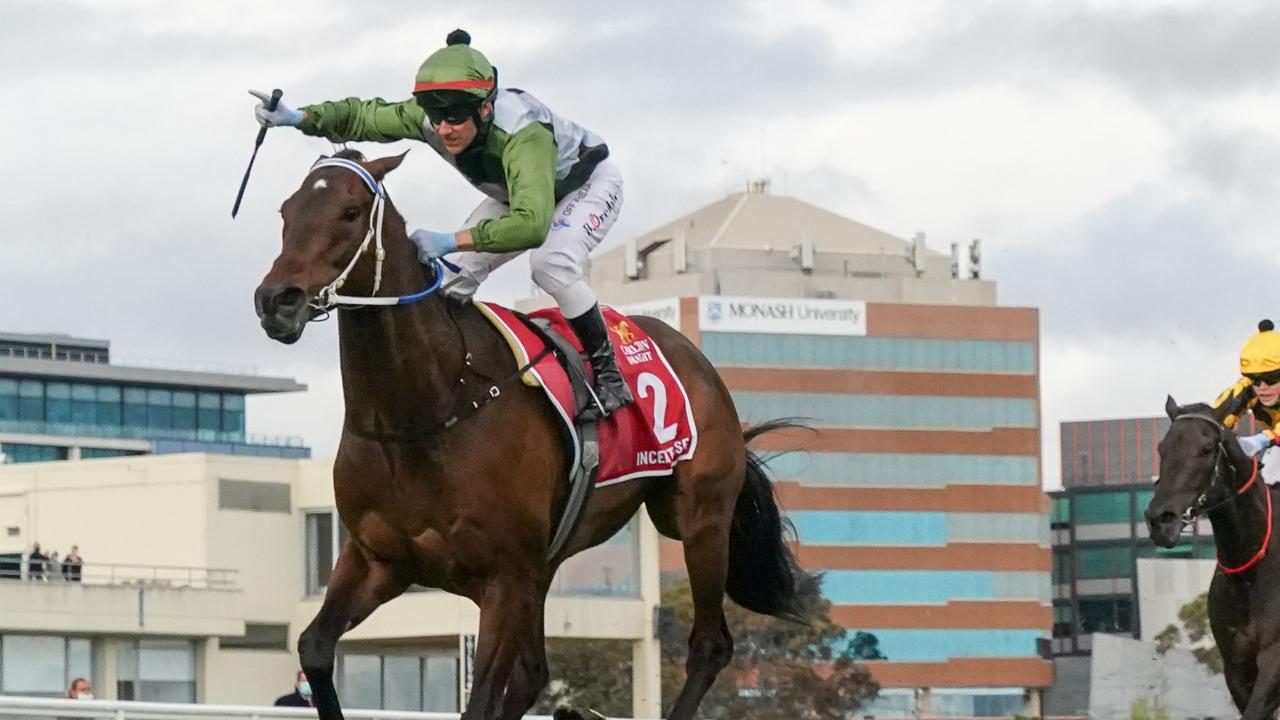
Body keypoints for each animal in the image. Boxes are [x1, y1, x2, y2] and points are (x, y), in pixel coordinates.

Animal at [254, 147, 819, 717]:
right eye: (285, 211)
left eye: (349, 213)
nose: (277, 300)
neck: (428, 407)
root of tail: (701, 364)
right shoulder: (378, 559)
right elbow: (315, 648)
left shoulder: (504, 576)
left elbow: (480, 698)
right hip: (549, 563)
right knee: (533, 673)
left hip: (698, 520)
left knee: (710, 644)